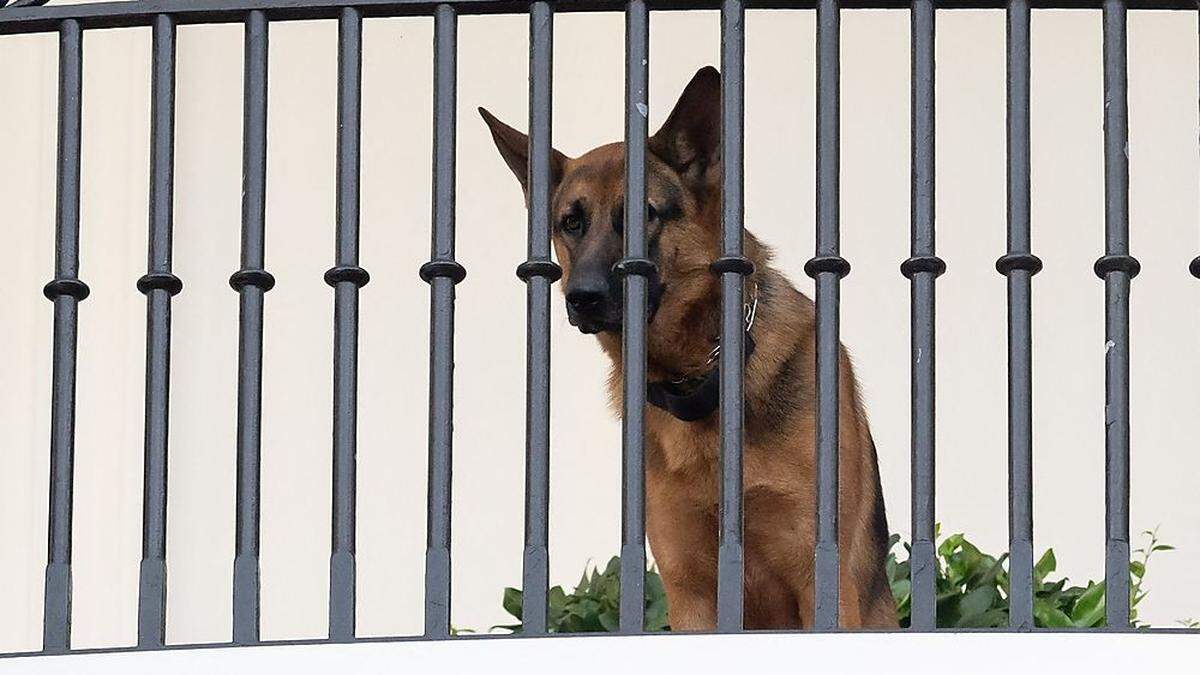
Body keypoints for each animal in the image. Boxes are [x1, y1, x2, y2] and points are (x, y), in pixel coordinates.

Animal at [482, 65, 897, 629]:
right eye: (571, 222)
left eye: (645, 214)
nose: (582, 298)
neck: (699, 376)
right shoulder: (690, 594)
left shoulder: (820, 581)